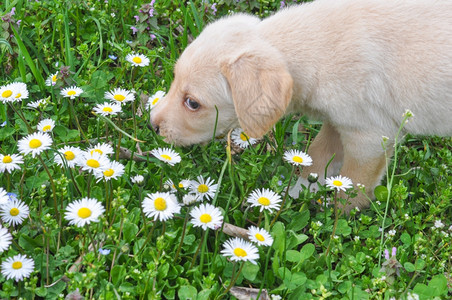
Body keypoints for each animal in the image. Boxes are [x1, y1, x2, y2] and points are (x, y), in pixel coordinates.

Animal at [151, 0, 452, 212]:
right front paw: (296, 195)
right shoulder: (338, 123)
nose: (151, 125)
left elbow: (352, 188)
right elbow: (316, 159)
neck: (314, 45)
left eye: (192, 103)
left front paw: (335, 221)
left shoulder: (368, 137)